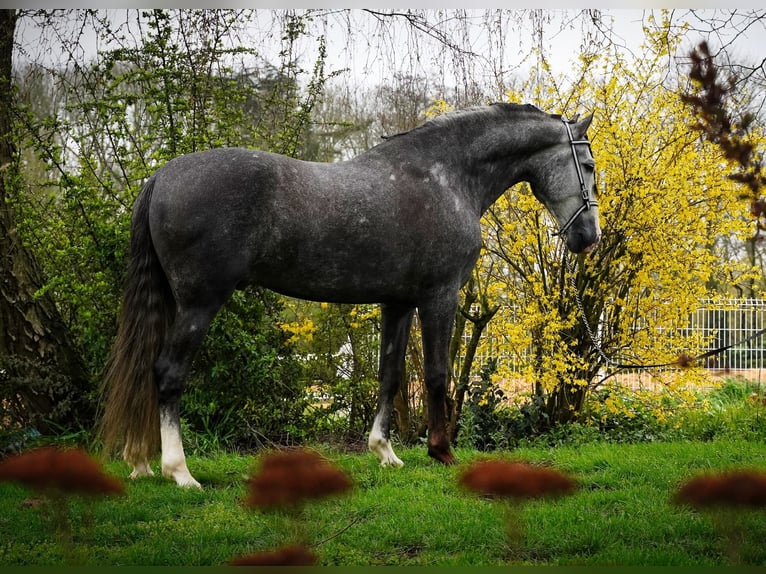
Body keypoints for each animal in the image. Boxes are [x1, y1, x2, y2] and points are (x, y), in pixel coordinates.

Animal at [99, 103, 601, 488]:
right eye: (589, 166)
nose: (588, 237)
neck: (447, 176)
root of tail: (162, 176)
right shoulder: (438, 297)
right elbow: (437, 374)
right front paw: (442, 452)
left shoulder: (397, 302)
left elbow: (391, 375)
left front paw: (385, 452)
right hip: (199, 304)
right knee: (168, 374)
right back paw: (179, 472)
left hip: (174, 303)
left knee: (146, 369)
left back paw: (141, 463)